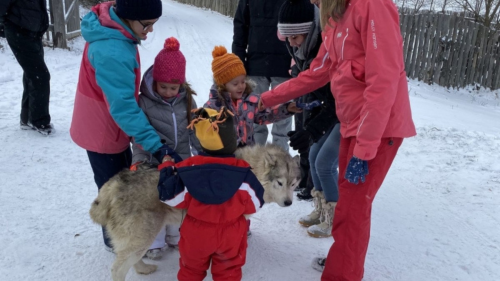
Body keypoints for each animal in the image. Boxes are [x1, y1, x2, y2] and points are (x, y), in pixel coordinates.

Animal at [89, 143, 298, 278]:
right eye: (280, 183)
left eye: (293, 184)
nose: (289, 203)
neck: (253, 168)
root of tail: (112, 184)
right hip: (142, 237)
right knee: (118, 268)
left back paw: (144, 269)